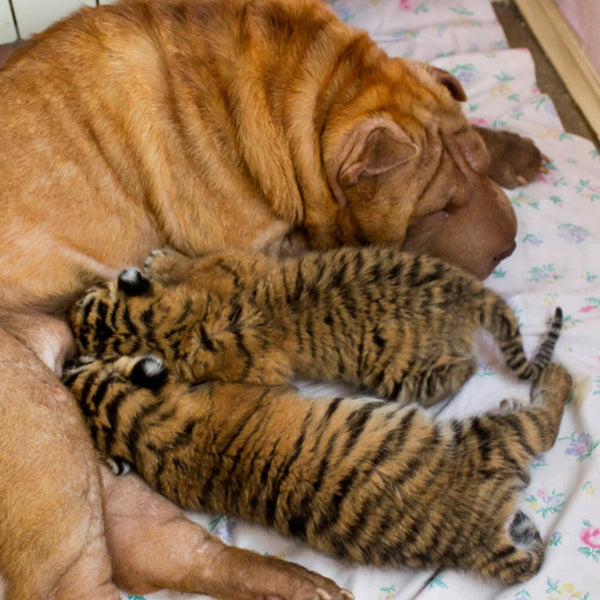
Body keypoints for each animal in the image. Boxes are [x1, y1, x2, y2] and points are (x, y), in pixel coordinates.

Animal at [0, 1, 548, 600]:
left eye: (479, 164)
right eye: (441, 208)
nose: (509, 245)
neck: (305, 103)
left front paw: (512, 148)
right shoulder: (266, 245)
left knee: (188, 558)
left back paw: (307, 585)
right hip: (48, 446)